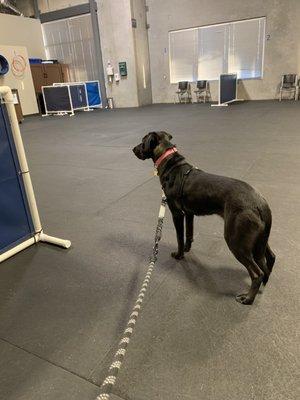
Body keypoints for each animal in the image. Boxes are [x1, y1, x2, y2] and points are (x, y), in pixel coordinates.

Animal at [134, 130, 276, 304]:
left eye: (142, 141)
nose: (133, 149)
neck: (170, 163)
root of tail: (260, 204)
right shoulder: (189, 213)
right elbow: (189, 235)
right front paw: (187, 249)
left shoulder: (177, 213)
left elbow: (179, 237)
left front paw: (179, 255)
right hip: (259, 240)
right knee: (270, 258)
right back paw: (263, 285)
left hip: (236, 240)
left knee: (257, 273)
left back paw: (248, 298)